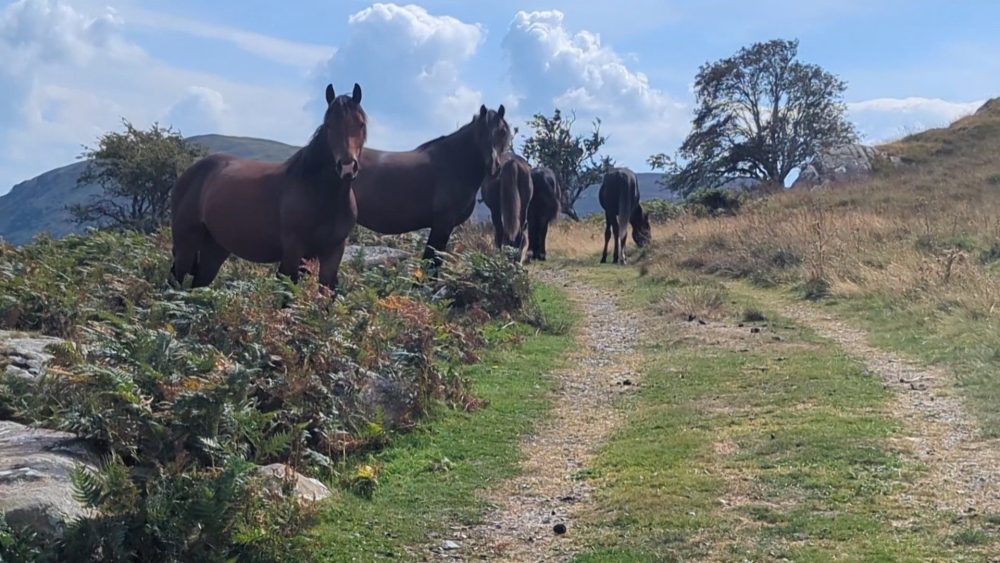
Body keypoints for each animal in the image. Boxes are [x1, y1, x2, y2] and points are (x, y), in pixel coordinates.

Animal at [170, 83, 367, 291]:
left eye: (361, 124)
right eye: (329, 125)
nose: (347, 167)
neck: (320, 193)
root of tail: (189, 173)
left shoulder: (333, 253)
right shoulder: (293, 252)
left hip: (214, 248)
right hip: (186, 244)